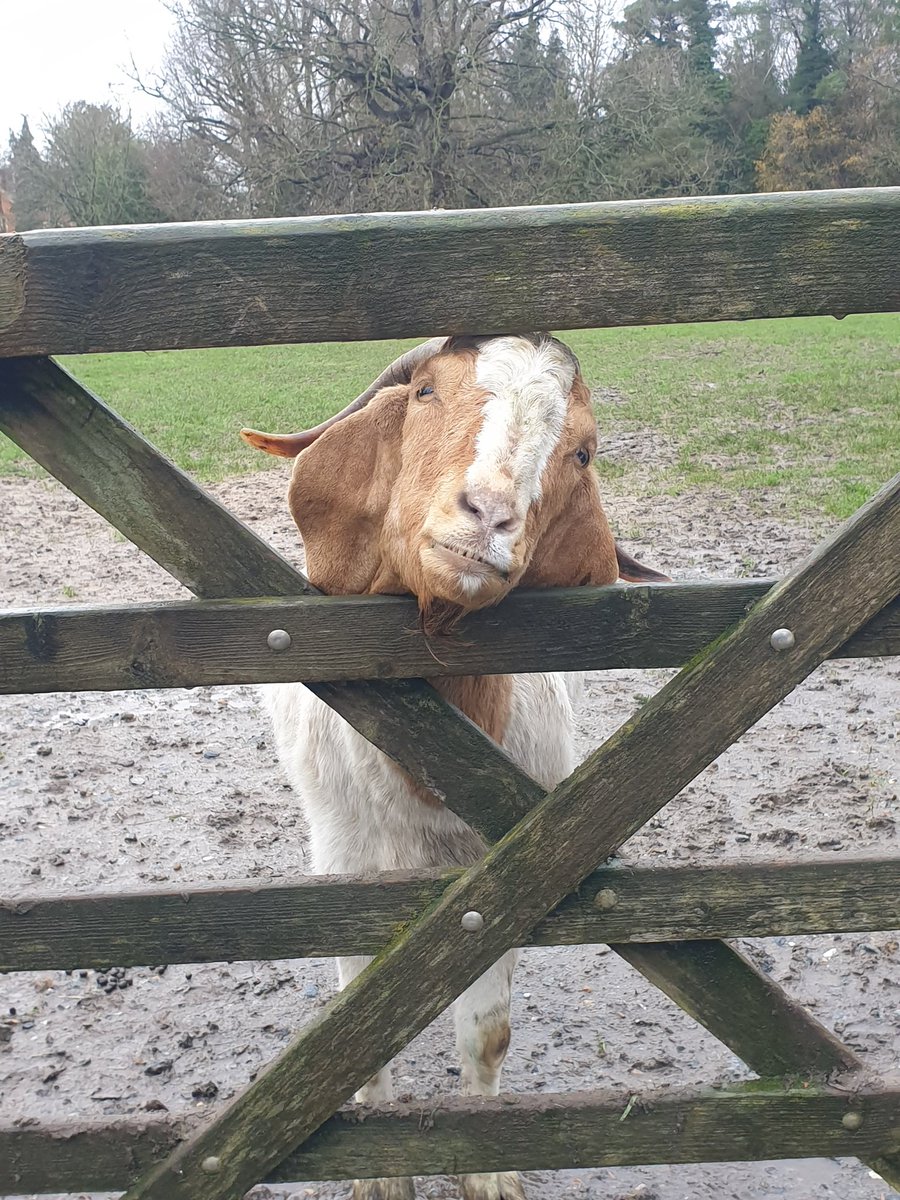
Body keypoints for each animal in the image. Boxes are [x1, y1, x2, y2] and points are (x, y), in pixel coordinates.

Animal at [242, 334, 667, 1200]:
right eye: (426, 393)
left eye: (581, 451)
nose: (489, 516)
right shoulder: (346, 873)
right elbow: (357, 1026)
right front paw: (378, 1177)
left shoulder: (506, 877)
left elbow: (489, 1035)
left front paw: (489, 1168)